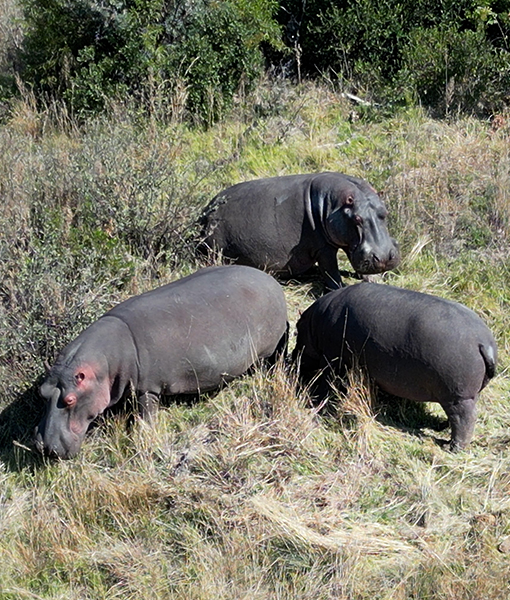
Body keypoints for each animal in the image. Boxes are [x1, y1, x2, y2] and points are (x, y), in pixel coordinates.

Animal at [34, 264, 290, 458]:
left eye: (69, 400)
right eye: (42, 392)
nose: (44, 447)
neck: (104, 366)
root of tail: (272, 281)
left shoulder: (147, 388)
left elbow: (147, 413)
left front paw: (142, 434)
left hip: (266, 350)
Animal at [199, 172, 402, 290]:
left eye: (385, 212)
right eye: (357, 219)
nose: (384, 258)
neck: (334, 205)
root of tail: (205, 211)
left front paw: (375, 280)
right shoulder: (324, 248)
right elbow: (331, 270)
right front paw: (339, 288)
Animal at [294, 282, 498, 450]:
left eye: (296, 330)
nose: (291, 359)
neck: (314, 322)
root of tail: (484, 342)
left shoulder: (332, 360)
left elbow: (325, 381)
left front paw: (314, 398)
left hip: (458, 397)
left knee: (464, 420)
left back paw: (451, 447)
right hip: (467, 394)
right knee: (458, 417)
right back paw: (441, 427)